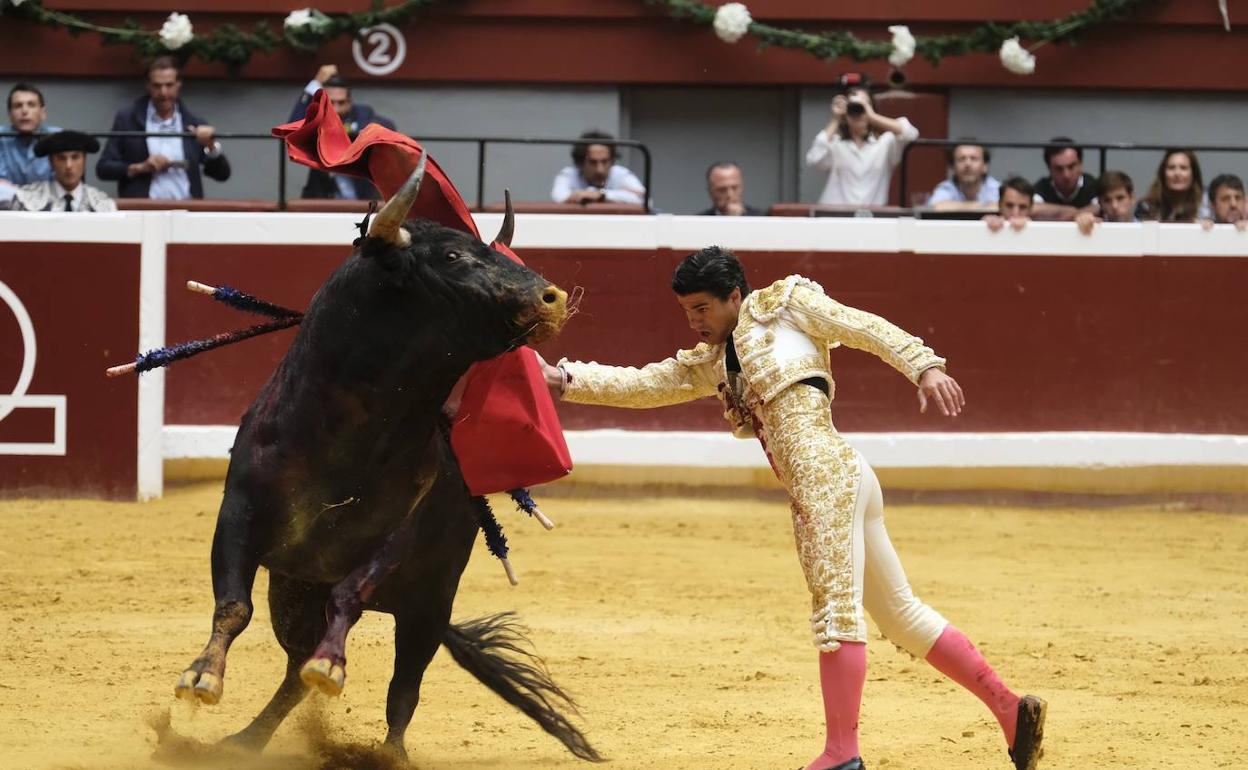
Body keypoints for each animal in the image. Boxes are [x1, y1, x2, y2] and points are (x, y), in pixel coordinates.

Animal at [172, 157, 599, 763]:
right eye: (453, 256)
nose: (554, 298)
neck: (344, 436)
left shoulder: (393, 540)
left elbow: (349, 598)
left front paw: (332, 666)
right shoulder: (239, 514)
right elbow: (232, 604)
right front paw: (201, 678)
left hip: (428, 605)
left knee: (403, 686)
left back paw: (387, 751)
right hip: (294, 593)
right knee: (293, 672)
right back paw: (247, 739)